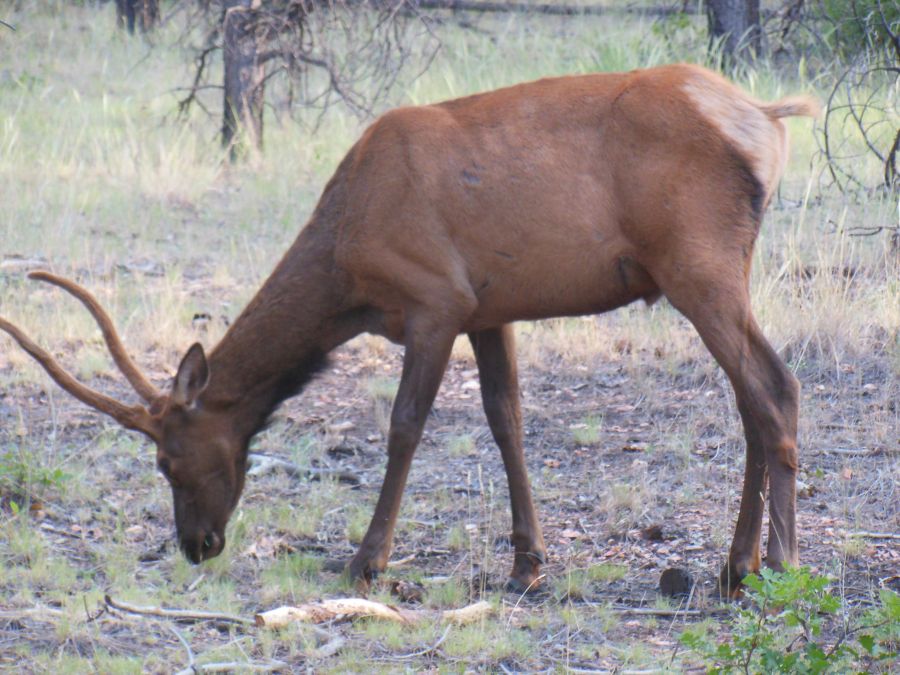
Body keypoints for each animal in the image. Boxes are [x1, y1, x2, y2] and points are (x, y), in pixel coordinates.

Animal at [0, 62, 816, 592]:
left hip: (696, 266)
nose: (196, 545)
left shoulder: (435, 301)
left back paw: (776, 565)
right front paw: (527, 564)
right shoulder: (491, 308)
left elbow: (403, 426)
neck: (345, 266)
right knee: (752, 398)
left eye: (168, 461)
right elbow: (506, 421)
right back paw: (734, 564)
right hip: (714, 271)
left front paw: (368, 560)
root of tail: (768, 123)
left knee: (774, 388)